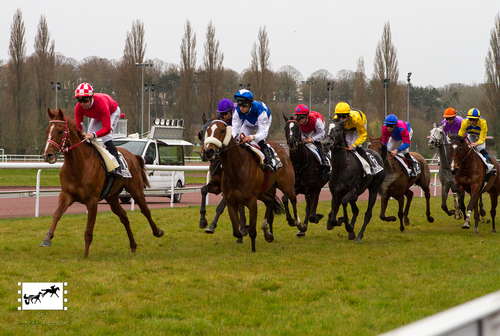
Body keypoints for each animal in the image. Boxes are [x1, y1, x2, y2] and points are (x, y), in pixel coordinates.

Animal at [41, 108, 164, 258]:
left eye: (59, 131)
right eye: (47, 130)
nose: (47, 155)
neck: (78, 166)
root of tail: (133, 156)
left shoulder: (92, 200)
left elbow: (88, 231)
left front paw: (85, 255)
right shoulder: (66, 195)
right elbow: (57, 214)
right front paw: (47, 238)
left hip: (136, 190)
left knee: (145, 210)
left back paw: (157, 232)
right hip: (112, 197)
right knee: (124, 216)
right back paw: (133, 245)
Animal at [200, 119, 302, 251]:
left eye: (222, 131)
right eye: (206, 131)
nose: (208, 151)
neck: (236, 167)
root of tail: (282, 149)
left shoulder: (250, 201)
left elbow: (247, 226)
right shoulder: (227, 196)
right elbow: (236, 230)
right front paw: (204, 221)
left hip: (286, 185)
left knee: (292, 198)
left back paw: (298, 224)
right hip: (263, 191)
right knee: (270, 201)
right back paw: (268, 233)